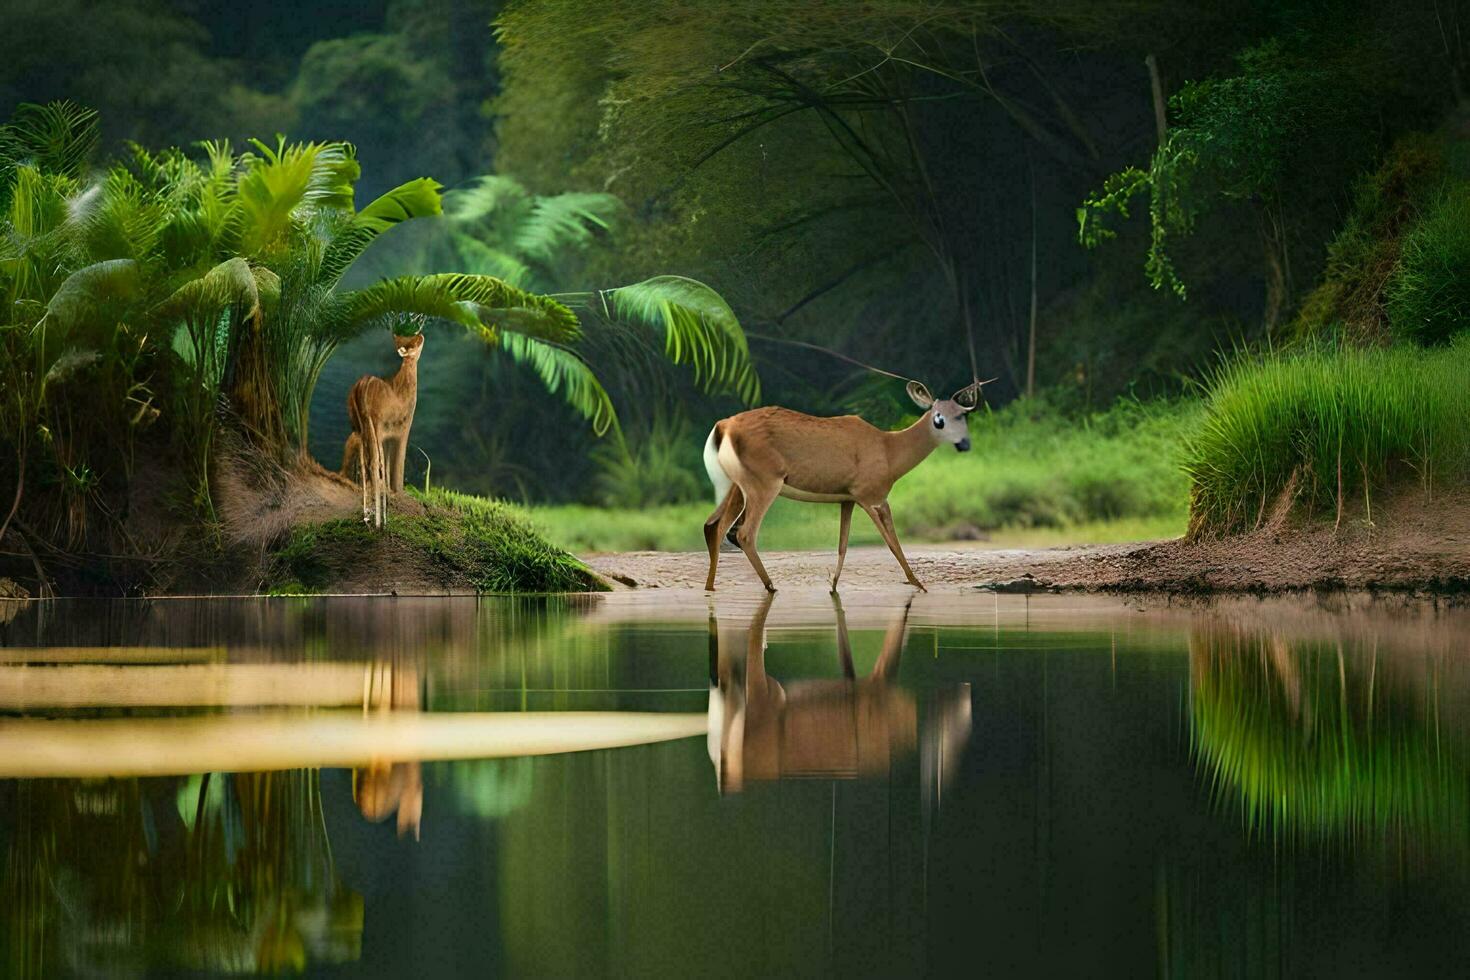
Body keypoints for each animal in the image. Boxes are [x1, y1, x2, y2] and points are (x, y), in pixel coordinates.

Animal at [348, 329, 426, 528]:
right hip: (374, 424)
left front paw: (391, 494)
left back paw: (367, 514)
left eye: (410, 337)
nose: (420, 334)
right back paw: (379, 521)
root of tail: (360, 388)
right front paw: (398, 495)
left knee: (365, 462)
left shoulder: (388, 435)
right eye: (413, 342)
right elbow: (397, 462)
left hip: (360, 428)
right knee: (374, 461)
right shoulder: (402, 428)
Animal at [702, 379, 981, 590]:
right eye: (938, 419)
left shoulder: (847, 498)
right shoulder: (870, 496)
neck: (889, 451)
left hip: (736, 486)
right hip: (764, 483)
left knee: (713, 526)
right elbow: (892, 543)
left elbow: (843, 545)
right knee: (743, 533)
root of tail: (723, 427)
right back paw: (771, 587)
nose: (965, 443)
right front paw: (919, 585)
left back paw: (711, 587)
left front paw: (833, 587)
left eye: (963, 416)